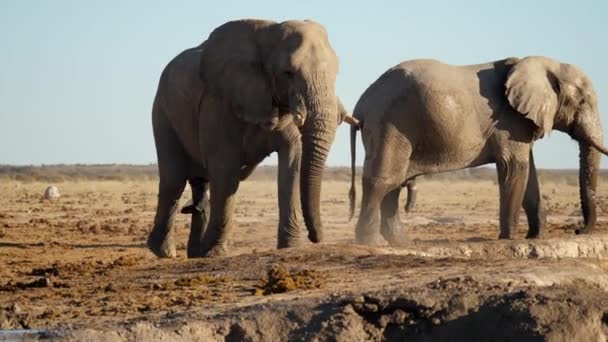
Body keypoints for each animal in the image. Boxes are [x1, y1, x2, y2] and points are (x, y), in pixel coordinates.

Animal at [147, 18, 356, 258]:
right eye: (288, 72)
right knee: (174, 179)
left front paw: (290, 247)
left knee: (200, 182)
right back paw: (165, 252)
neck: (268, 34)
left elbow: (291, 163)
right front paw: (215, 253)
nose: (316, 238)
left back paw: (195, 253)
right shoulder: (218, 103)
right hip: (162, 111)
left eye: (336, 73)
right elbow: (225, 171)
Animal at [352, 56, 608, 244]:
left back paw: (401, 243)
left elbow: (529, 172)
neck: (544, 64)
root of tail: (362, 104)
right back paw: (371, 243)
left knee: (394, 184)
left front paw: (535, 237)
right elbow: (515, 168)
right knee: (383, 180)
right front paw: (509, 239)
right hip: (390, 124)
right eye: (582, 102)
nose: (578, 231)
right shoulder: (508, 122)